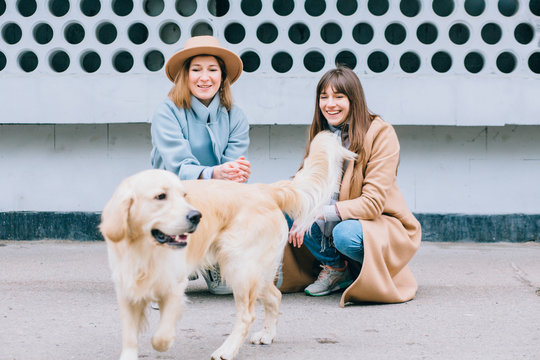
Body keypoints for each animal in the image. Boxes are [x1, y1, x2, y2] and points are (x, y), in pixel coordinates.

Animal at [99, 131, 356, 358]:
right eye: (160, 196)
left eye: (184, 195)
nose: (196, 216)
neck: (146, 249)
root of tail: (264, 190)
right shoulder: (127, 289)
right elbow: (130, 336)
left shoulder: (174, 284)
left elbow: (160, 336)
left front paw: (164, 340)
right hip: (254, 271)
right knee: (274, 296)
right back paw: (267, 335)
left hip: (239, 267)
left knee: (247, 315)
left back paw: (227, 350)